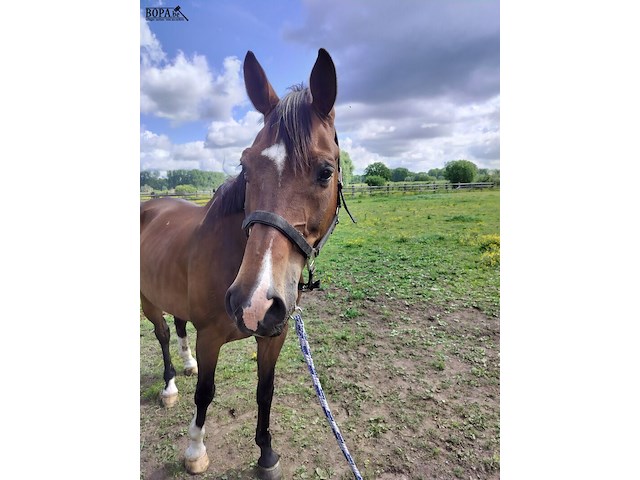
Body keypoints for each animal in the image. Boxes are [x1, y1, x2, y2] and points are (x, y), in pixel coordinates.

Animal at [140, 48, 343, 478]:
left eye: (325, 171)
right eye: (246, 166)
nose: (254, 303)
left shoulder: (274, 334)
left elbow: (265, 391)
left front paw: (266, 453)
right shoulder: (210, 337)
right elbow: (205, 394)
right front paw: (195, 450)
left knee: (177, 328)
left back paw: (186, 364)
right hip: (147, 300)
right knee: (163, 335)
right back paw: (170, 385)